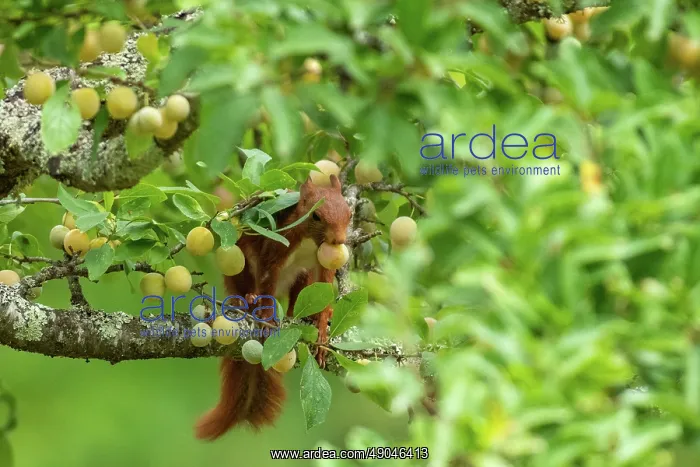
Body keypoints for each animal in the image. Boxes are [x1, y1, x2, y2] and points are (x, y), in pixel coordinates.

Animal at [195, 173, 352, 441]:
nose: (338, 240)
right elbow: (268, 273)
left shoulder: (322, 264)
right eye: (316, 216)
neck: (310, 242)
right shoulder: (277, 245)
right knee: (250, 285)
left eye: (349, 214)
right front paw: (267, 319)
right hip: (241, 266)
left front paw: (321, 328)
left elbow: (323, 285)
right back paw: (249, 300)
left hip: (301, 278)